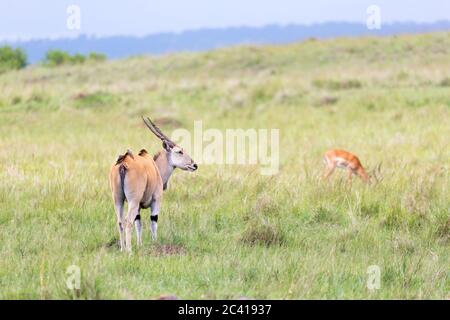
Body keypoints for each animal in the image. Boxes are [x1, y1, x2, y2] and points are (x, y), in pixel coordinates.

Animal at [109, 116, 197, 251]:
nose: (194, 165)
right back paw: (129, 251)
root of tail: (123, 163)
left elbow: (138, 224)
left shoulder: (138, 207)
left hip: (118, 200)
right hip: (132, 201)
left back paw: (122, 249)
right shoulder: (156, 200)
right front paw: (155, 244)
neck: (154, 167)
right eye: (179, 151)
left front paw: (139, 245)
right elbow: (153, 222)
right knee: (128, 221)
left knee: (120, 221)